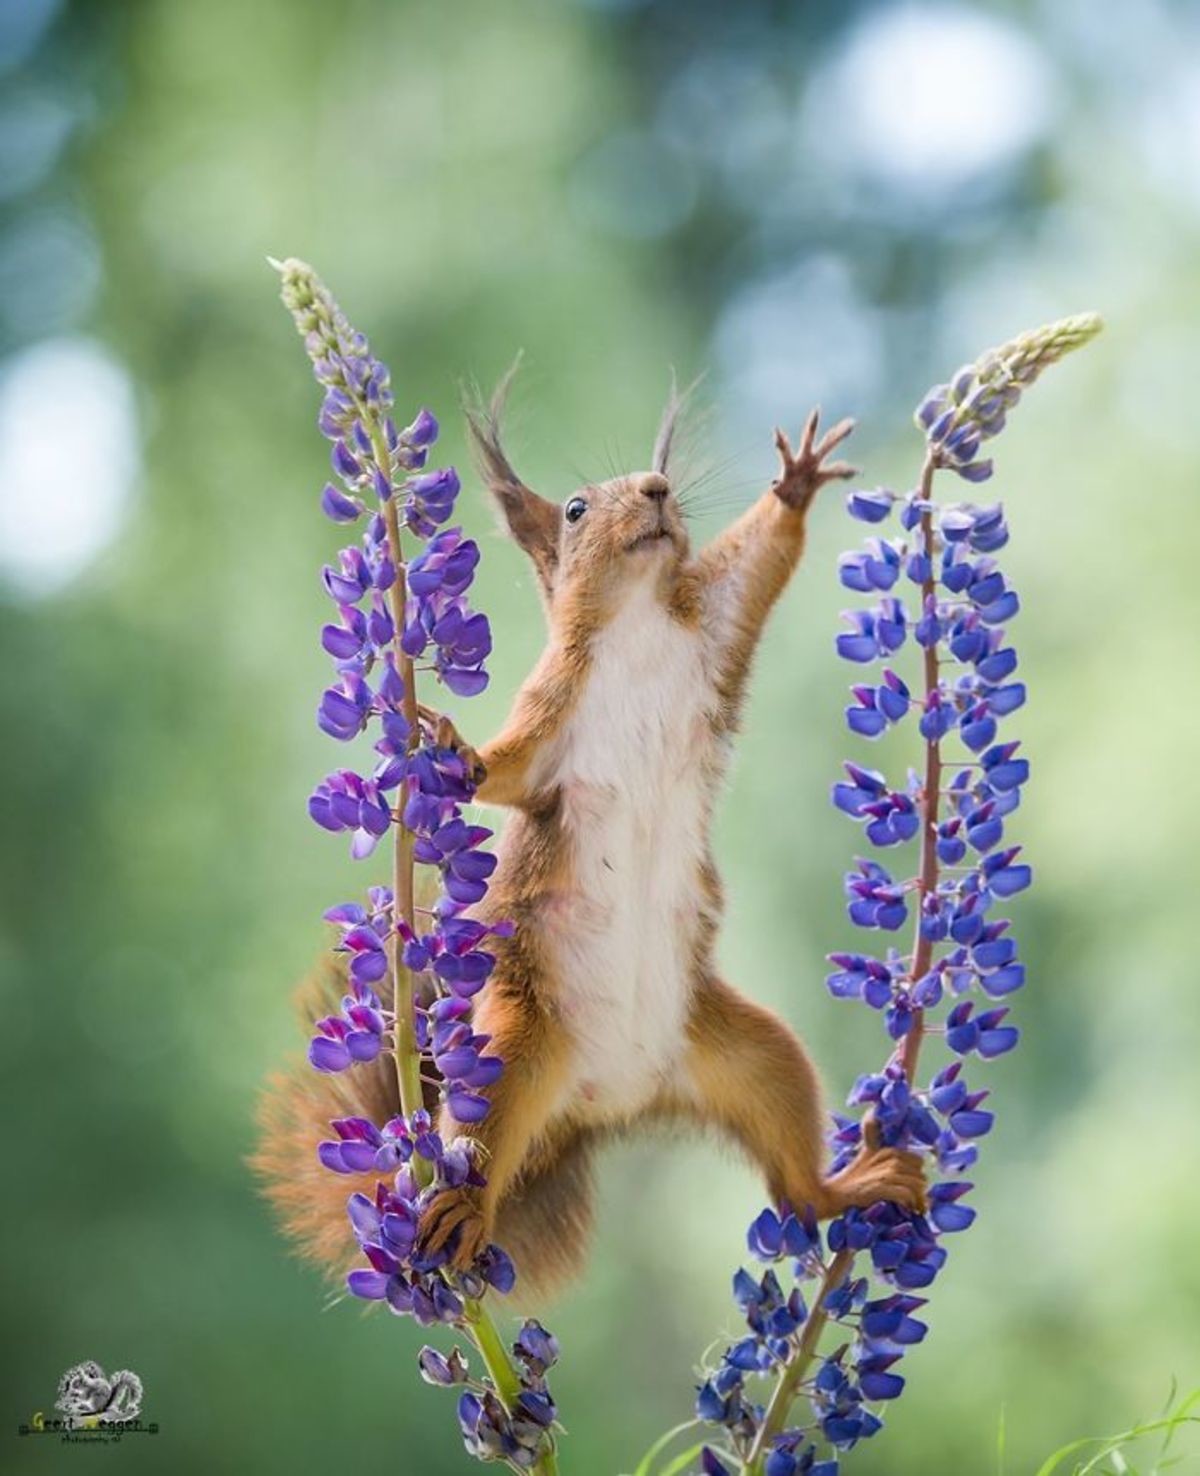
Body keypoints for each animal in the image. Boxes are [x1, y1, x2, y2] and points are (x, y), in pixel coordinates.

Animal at [255, 374, 926, 1298]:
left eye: (660, 482)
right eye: (575, 509)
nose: (657, 489)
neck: (638, 626)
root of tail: (607, 1102)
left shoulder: (717, 626)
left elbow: (759, 563)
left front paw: (796, 483)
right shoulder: (550, 723)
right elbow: (501, 770)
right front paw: (447, 745)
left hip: (755, 1056)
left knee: (793, 1181)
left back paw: (854, 1183)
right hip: (509, 1053)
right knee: (483, 1151)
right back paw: (461, 1212)